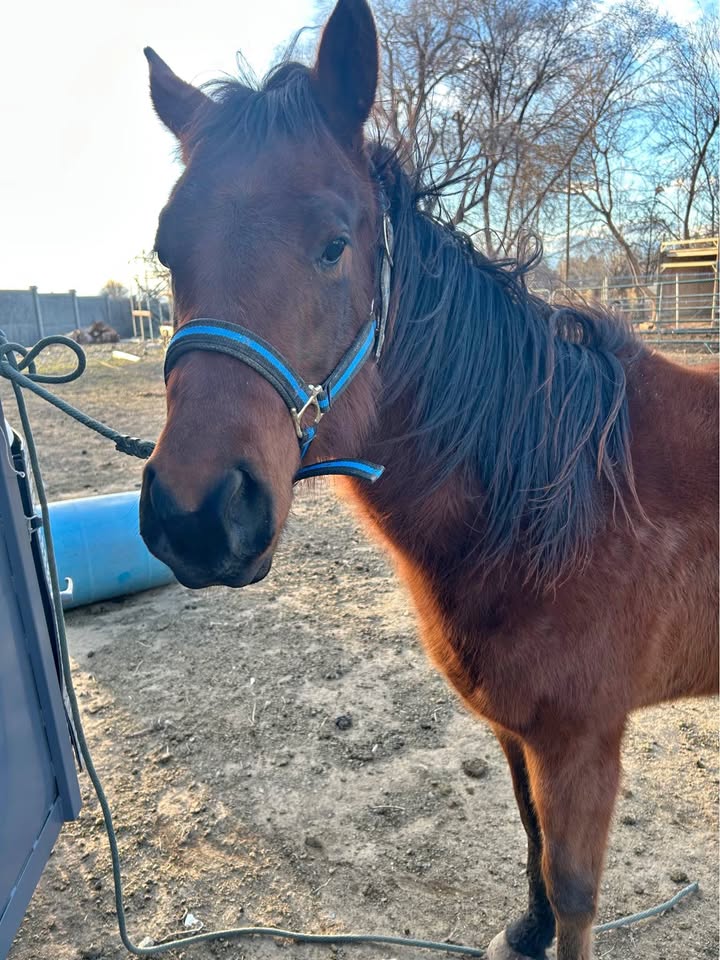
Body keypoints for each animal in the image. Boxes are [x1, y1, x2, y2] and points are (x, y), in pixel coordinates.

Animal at [137, 2, 719, 957]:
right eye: (166, 252)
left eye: (335, 246)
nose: (198, 515)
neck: (555, 497)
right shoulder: (520, 731)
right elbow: (529, 836)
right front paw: (521, 932)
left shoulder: (583, 741)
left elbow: (575, 890)